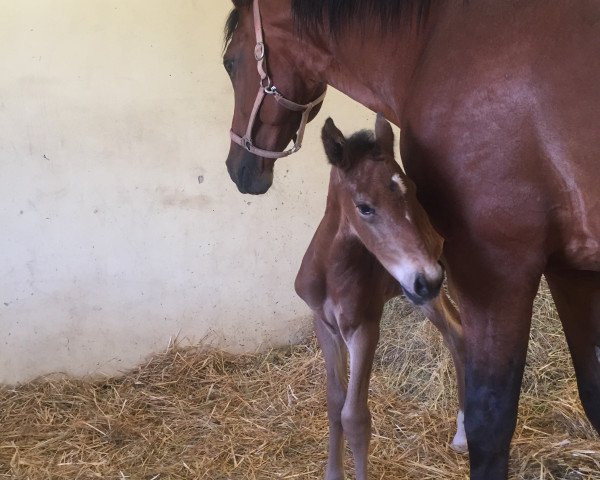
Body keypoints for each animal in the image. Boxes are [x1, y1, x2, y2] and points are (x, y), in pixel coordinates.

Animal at [298, 114, 466, 478]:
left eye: (413, 191)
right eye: (364, 207)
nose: (429, 278)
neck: (332, 272)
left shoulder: (364, 327)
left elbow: (355, 417)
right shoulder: (324, 324)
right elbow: (335, 402)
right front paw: (333, 473)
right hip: (421, 296)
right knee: (455, 335)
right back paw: (463, 432)